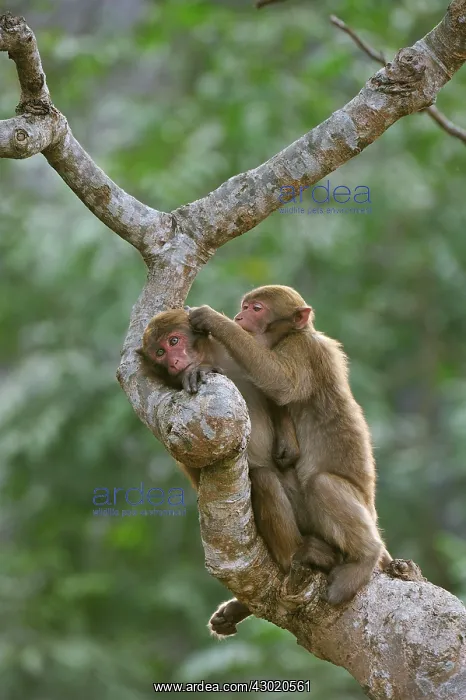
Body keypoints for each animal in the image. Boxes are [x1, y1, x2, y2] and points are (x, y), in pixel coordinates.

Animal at [189, 285, 392, 632]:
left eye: (256, 308)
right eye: (245, 306)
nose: (239, 316)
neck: (294, 333)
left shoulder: (303, 350)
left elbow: (281, 383)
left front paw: (212, 318)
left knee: (321, 485)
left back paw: (365, 557)